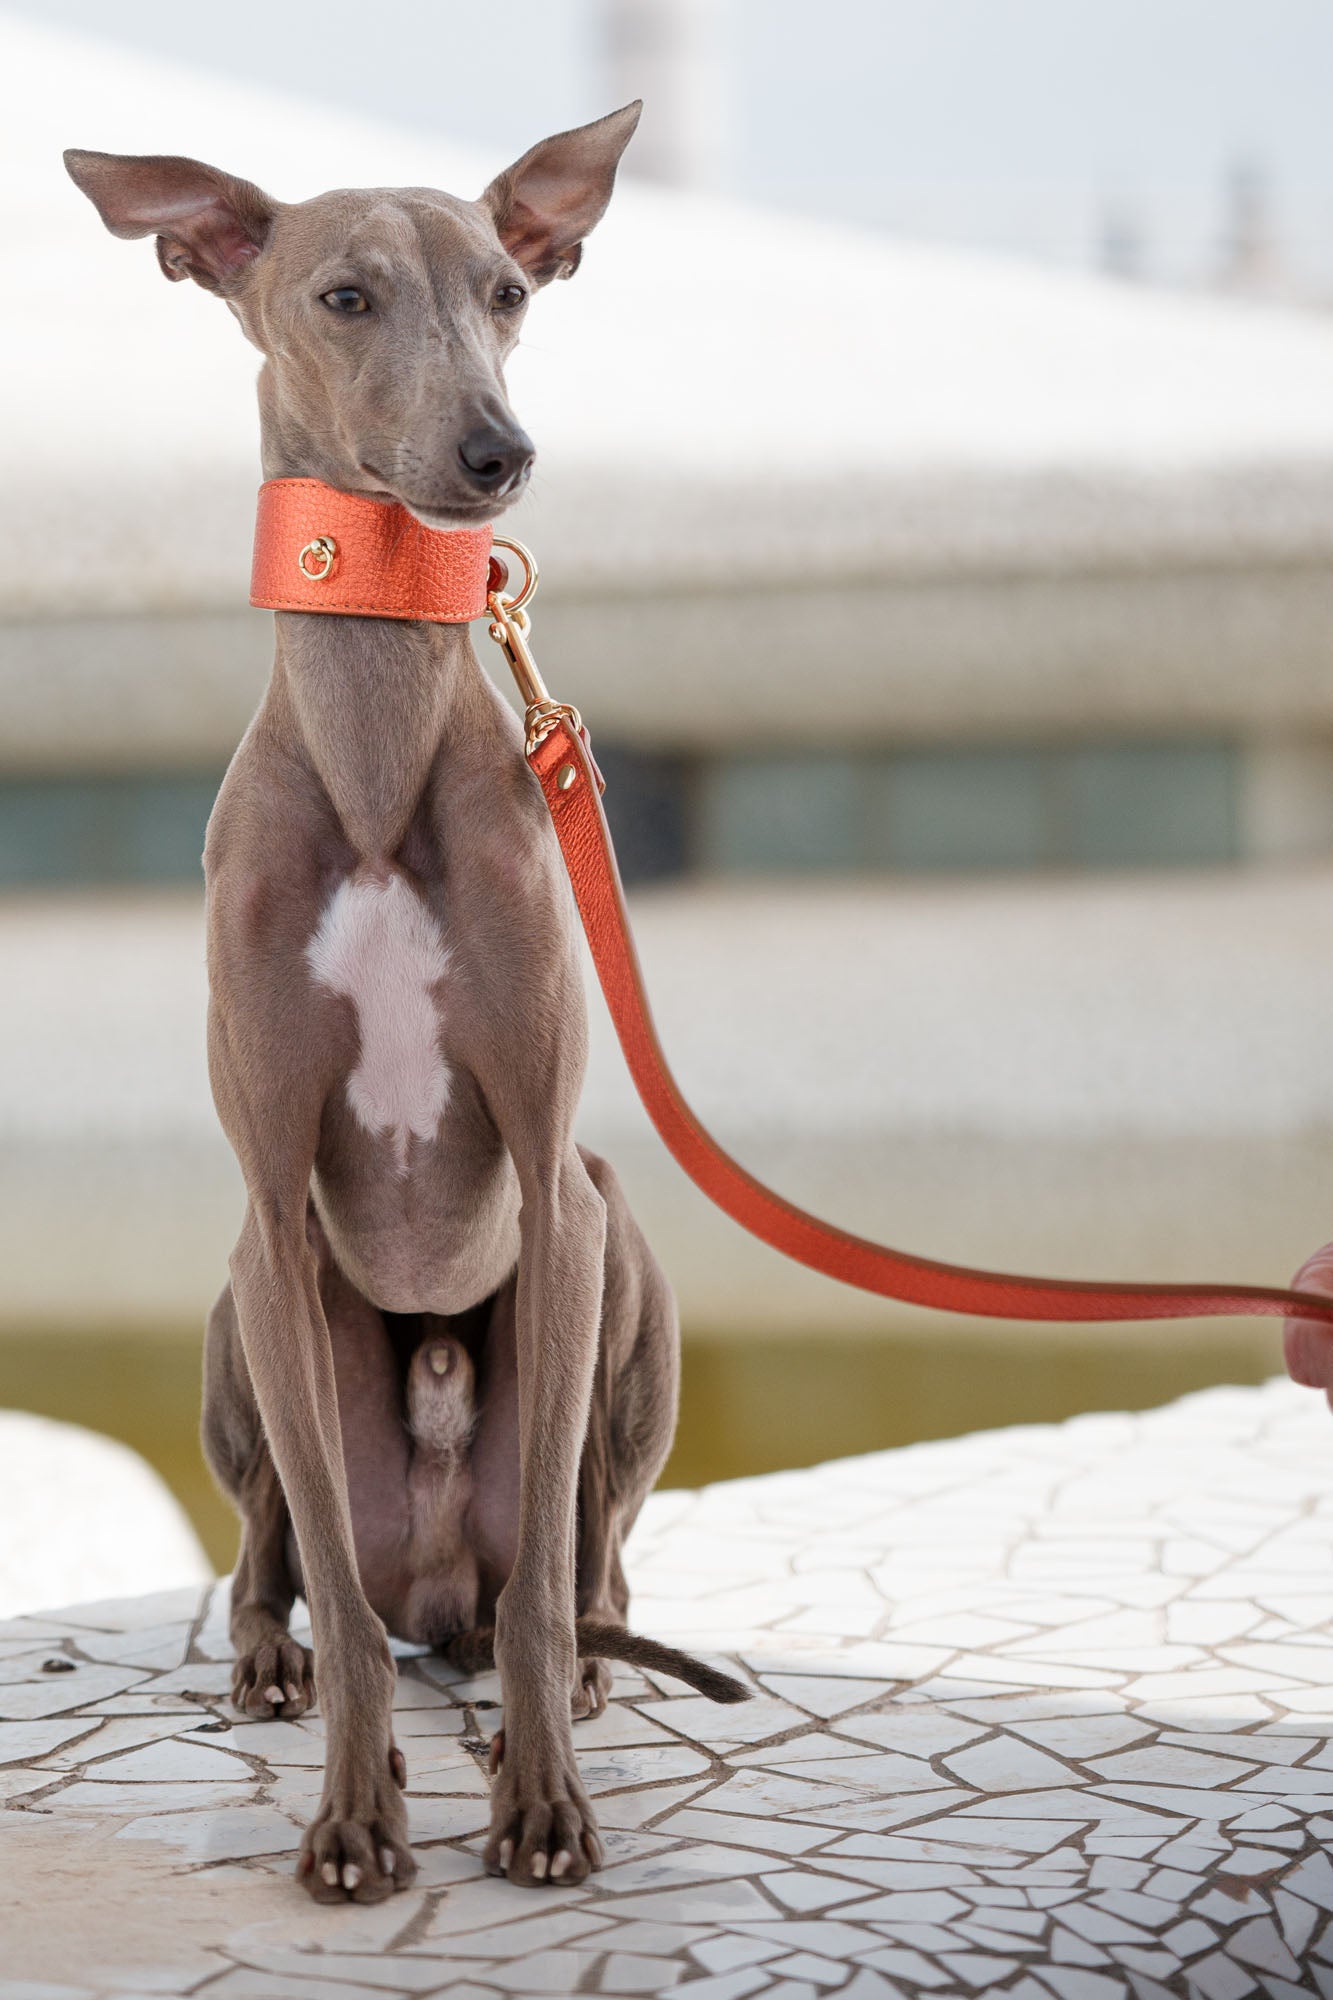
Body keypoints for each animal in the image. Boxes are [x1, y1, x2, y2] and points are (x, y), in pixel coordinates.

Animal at [67, 109, 740, 1904]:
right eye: (346, 294)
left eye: (510, 289)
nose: (499, 454)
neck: (374, 753)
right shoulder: (272, 1206)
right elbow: (337, 1603)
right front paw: (356, 1818)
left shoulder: (552, 1179)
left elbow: (542, 1607)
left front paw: (544, 1803)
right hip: (241, 1312)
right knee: (291, 1561)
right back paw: (266, 1658)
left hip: (617, 1259)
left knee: (569, 1569)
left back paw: (561, 1674)